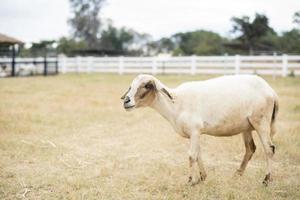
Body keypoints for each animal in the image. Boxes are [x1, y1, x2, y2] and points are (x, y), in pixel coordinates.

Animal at [121, 74, 278, 186]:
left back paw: (266, 180)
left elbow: (191, 156)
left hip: (261, 121)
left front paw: (190, 180)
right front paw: (201, 178)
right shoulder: (194, 134)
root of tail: (271, 91)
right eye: (131, 86)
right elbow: (198, 154)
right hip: (246, 126)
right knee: (250, 148)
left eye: (147, 85)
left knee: (269, 149)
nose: (126, 101)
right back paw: (237, 175)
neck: (175, 104)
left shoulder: (195, 130)